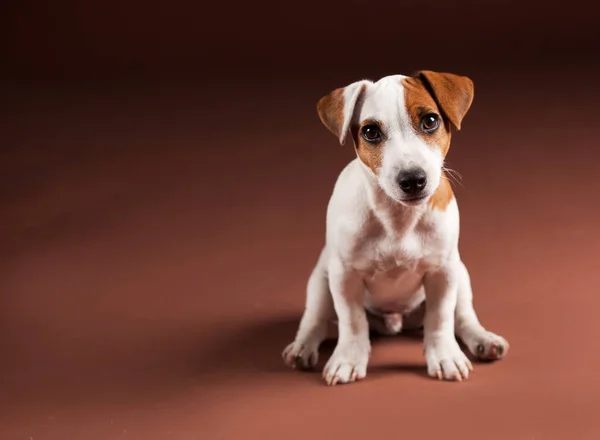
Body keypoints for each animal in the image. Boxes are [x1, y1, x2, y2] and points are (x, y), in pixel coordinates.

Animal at [284, 69, 508, 384]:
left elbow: (440, 318)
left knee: (462, 317)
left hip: (461, 276)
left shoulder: (443, 271)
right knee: (316, 319)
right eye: (370, 132)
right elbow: (352, 322)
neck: (398, 217)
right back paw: (302, 346)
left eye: (430, 121)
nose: (413, 179)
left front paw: (445, 356)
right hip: (320, 281)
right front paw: (347, 359)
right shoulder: (344, 275)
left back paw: (483, 340)